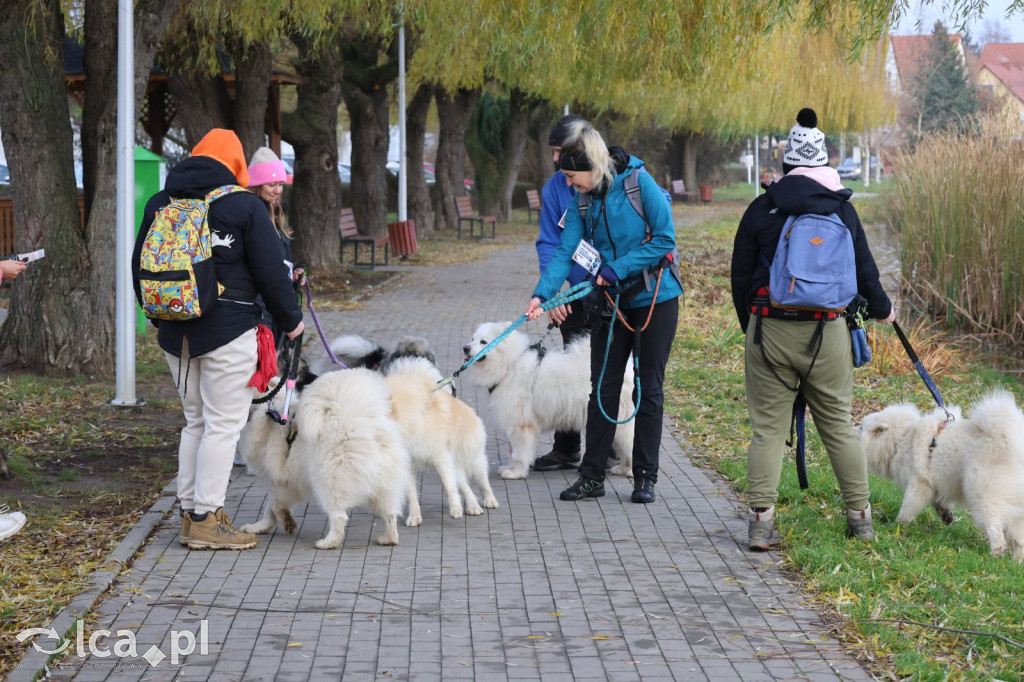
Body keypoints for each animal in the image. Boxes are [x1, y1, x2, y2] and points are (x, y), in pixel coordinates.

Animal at [239, 366, 411, 548]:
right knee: (391, 513)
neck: (267, 411)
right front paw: (260, 527)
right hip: (382, 487)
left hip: (329, 481)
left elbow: (274, 505)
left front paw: (285, 522)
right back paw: (388, 539)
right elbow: (270, 508)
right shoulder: (279, 482)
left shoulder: (280, 480)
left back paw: (328, 542)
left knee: (339, 516)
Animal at [382, 356, 497, 524]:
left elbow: (449, 486)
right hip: (454, 463)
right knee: (463, 484)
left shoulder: (440, 456)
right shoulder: (409, 463)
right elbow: (411, 493)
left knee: (482, 480)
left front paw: (455, 509)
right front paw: (414, 516)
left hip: (472, 457)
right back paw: (473, 506)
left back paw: (489, 500)